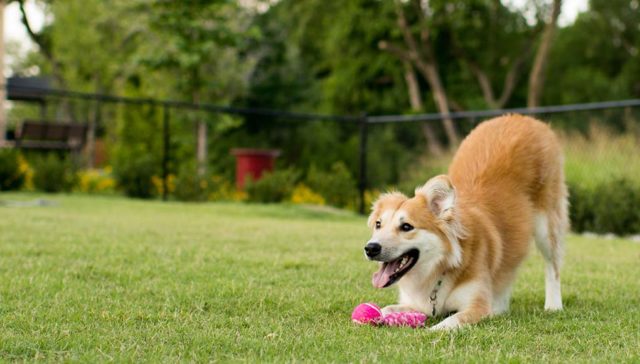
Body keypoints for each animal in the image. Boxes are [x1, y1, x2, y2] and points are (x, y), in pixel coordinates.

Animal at [362, 115, 568, 332]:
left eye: (406, 227)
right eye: (378, 224)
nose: (371, 248)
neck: (439, 268)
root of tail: (523, 118)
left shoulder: (477, 306)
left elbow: (450, 322)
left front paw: (431, 331)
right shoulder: (416, 304)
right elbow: (387, 308)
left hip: (547, 225)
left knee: (553, 266)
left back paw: (553, 305)